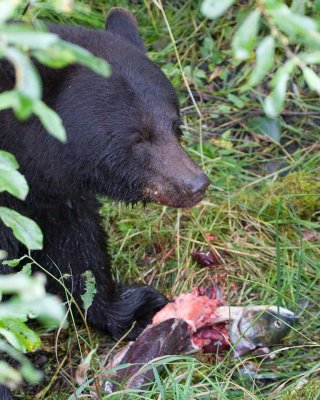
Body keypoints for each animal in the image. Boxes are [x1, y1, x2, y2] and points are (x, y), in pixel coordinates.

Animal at [0, 7, 210, 346]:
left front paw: (134, 309)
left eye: (175, 125)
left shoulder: (50, 193)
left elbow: (75, 248)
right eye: (137, 138)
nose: (196, 185)